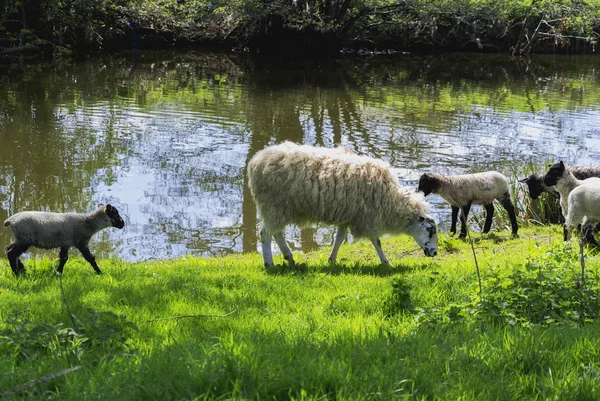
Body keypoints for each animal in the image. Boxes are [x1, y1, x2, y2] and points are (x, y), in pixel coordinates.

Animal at [246, 142, 438, 268]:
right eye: (430, 230)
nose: (435, 253)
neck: (391, 200)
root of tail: (256, 160)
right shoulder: (367, 216)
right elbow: (377, 242)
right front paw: (386, 262)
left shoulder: (349, 215)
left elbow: (339, 239)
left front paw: (332, 259)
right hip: (274, 205)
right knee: (266, 233)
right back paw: (269, 263)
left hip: (279, 208)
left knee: (276, 232)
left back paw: (289, 257)